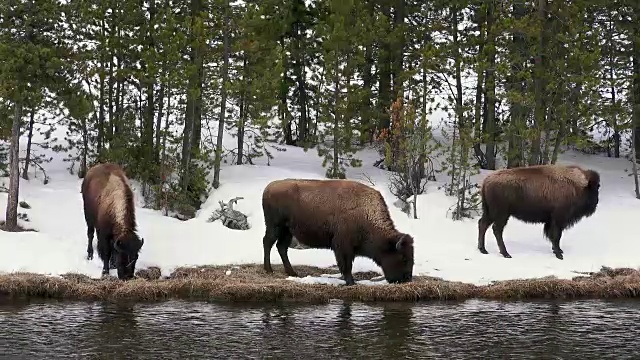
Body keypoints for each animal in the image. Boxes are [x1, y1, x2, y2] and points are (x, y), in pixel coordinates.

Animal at [262, 179, 416, 286]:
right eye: (403, 258)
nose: (407, 279)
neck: (365, 214)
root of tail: (268, 188)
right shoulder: (343, 246)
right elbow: (346, 265)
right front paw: (351, 282)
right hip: (275, 227)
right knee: (268, 243)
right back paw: (269, 270)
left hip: (287, 231)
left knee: (281, 247)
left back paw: (292, 273)